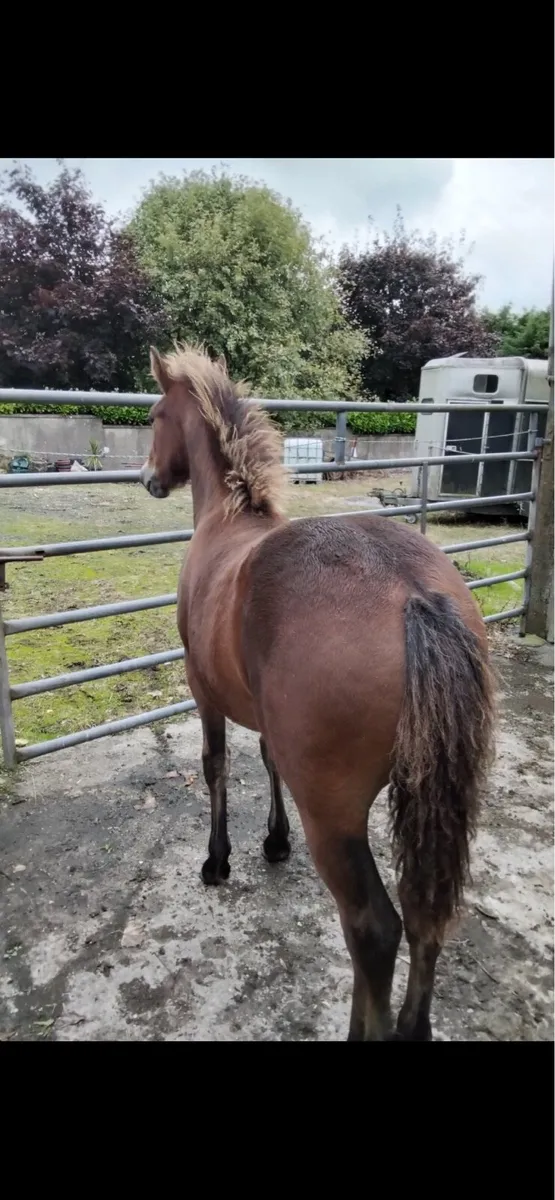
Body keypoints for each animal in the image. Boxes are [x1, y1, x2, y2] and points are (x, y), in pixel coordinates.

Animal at [140, 344, 495, 1042]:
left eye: (158, 415)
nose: (148, 479)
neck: (228, 521)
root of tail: (414, 596)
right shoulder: (267, 720)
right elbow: (268, 762)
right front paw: (275, 843)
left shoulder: (204, 691)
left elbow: (216, 767)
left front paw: (219, 860)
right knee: (422, 914)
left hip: (334, 815)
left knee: (373, 929)